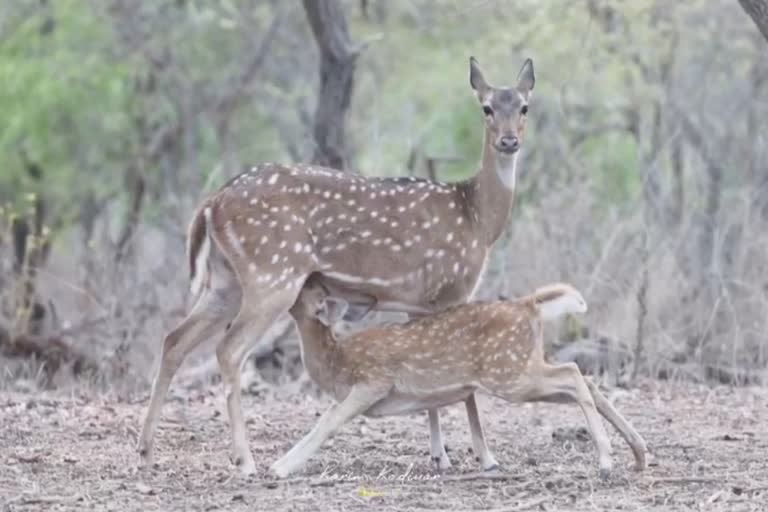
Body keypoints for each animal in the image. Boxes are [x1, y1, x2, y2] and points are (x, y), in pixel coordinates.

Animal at [138, 57, 536, 476]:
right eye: (486, 108)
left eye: (524, 106)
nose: (509, 141)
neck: (477, 218)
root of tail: (211, 205)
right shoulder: (451, 290)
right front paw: (486, 457)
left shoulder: (419, 303)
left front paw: (439, 455)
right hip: (272, 275)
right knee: (229, 349)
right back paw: (245, 460)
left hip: (225, 281)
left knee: (174, 340)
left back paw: (146, 450)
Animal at [270, 278, 648, 478]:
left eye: (303, 289)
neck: (335, 362)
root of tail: (528, 306)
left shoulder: (373, 381)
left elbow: (328, 422)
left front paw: (280, 467)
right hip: (522, 366)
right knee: (586, 379)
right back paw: (639, 454)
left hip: (509, 374)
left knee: (573, 374)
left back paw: (606, 461)